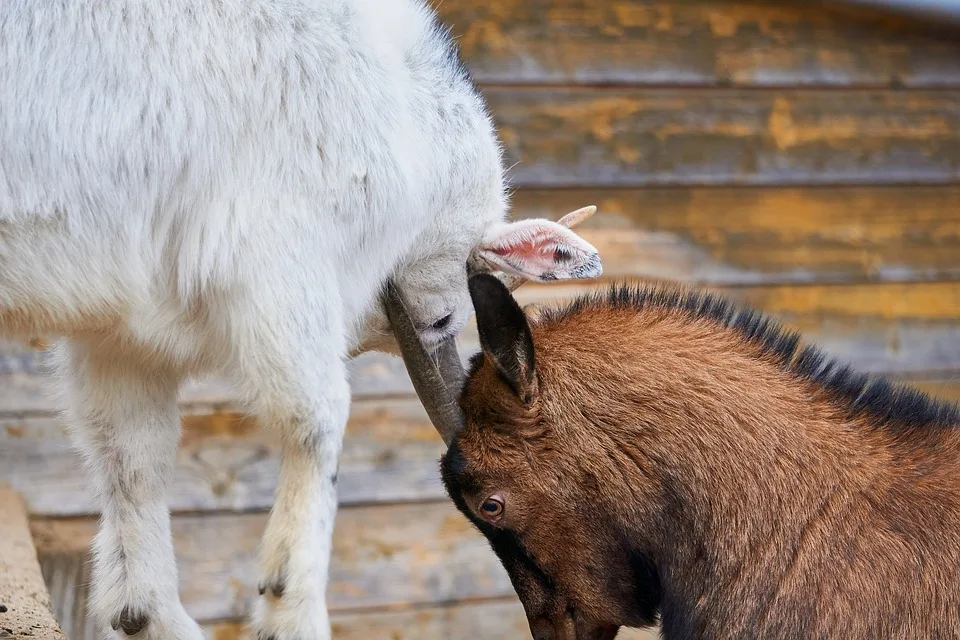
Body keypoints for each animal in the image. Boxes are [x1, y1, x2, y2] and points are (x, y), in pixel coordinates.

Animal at [0, 1, 600, 640]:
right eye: (447, 319)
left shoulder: (122, 330)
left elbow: (132, 453)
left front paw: (147, 612)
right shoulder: (281, 255)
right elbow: (316, 418)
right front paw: (292, 607)